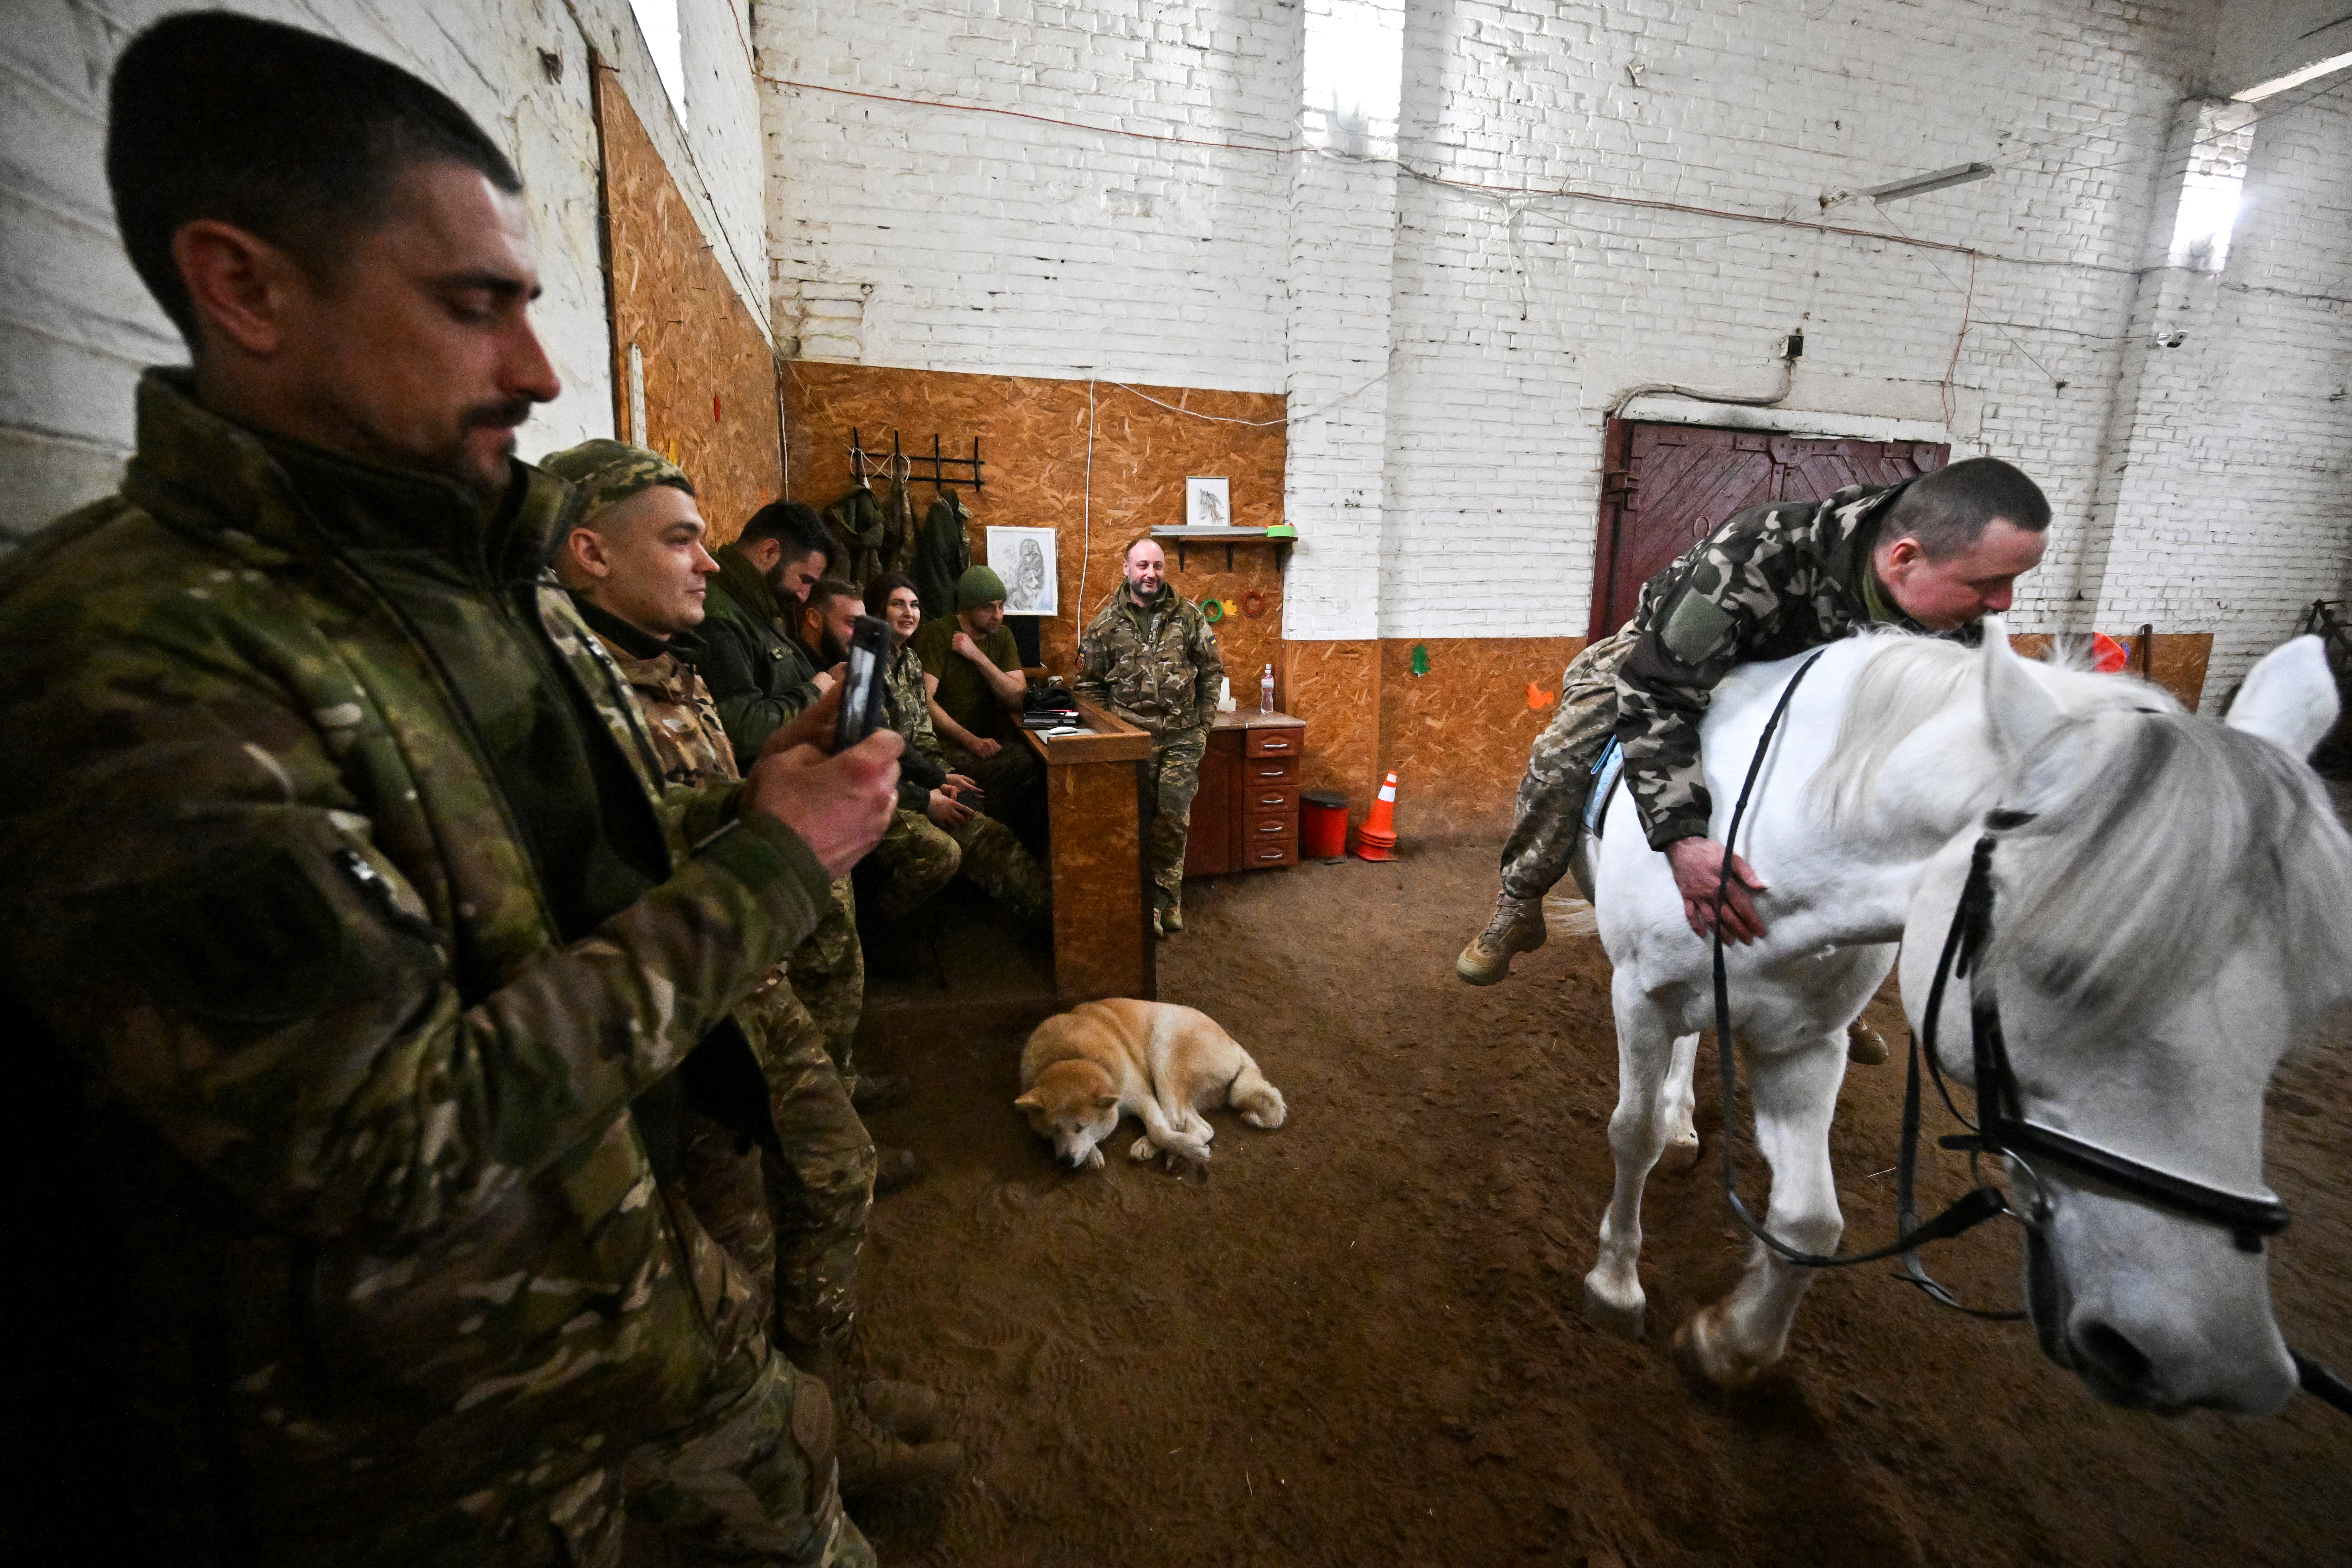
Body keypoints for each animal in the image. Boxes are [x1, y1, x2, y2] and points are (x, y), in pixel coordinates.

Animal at [1571, 620, 2352, 1414]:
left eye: (2306, 1004)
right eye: (2060, 967)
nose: (2211, 1360)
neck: (1775, 847)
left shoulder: (1804, 1045)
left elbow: (1811, 1224)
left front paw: (1728, 1344)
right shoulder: (1641, 999)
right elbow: (1631, 1137)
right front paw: (1615, 1288)